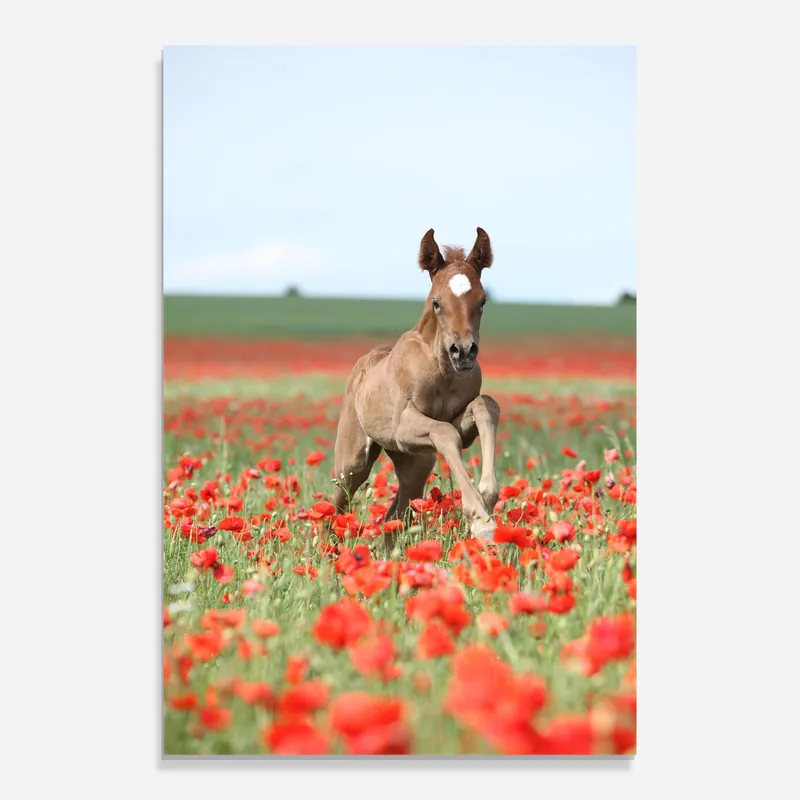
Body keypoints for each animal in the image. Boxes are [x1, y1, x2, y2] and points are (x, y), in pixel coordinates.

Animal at [331, 227, 501, 550]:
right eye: (436, 302)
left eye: (483, 301)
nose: (463, 351)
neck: (443, 371)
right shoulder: (403, 427)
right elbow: (444, 434)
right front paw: (481, 519)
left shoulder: (460, 424)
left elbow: (485, 406)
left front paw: (487, 497)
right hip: (354, 460)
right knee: (337, 502)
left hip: (415, 462)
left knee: (395, 514)